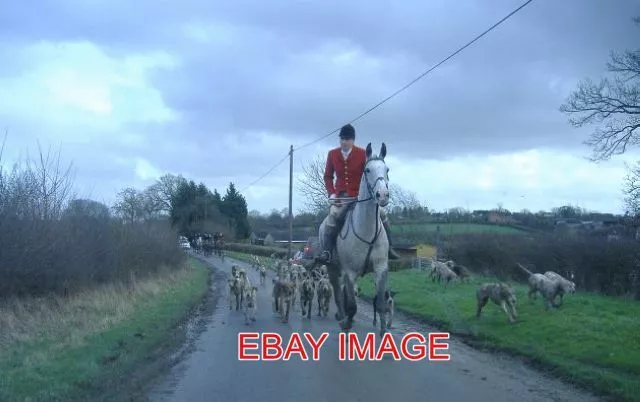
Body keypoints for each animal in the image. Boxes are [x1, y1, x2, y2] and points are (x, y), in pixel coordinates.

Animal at [318, 141, 392, 336]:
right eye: (367, 170)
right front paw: (346, 324)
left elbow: (380, 304)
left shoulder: (381, 269)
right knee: (338, 294)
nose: (382, 195)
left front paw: (383, 332)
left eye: (387, 169)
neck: (367, 231)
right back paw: (341, 317)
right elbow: (351, 306)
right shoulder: (349, 272)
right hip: (332, 269)